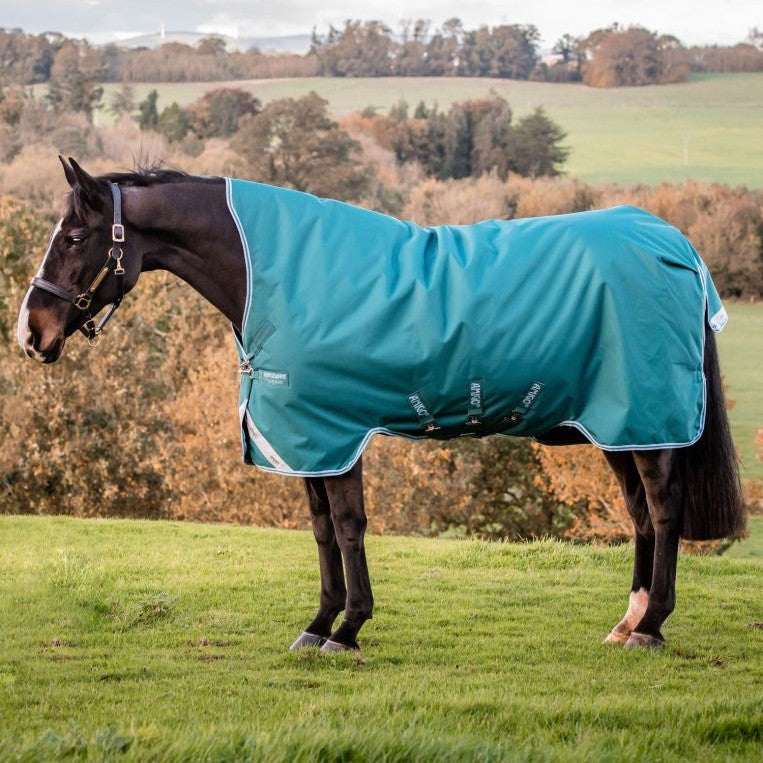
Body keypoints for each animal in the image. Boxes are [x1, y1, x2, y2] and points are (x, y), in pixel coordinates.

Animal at [17, 157, 745, 653]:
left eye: (74, 238)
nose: (31, 332)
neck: (278, 275)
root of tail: (673, 243)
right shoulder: (307, 440)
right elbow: (320, 530)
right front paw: (318, 624)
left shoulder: (333, 431)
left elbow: (347, 526)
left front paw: (348, 628)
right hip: (616, 424)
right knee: (640, 514)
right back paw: (628, 620)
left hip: (646, 420)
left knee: (663, 509)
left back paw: (652, 624)